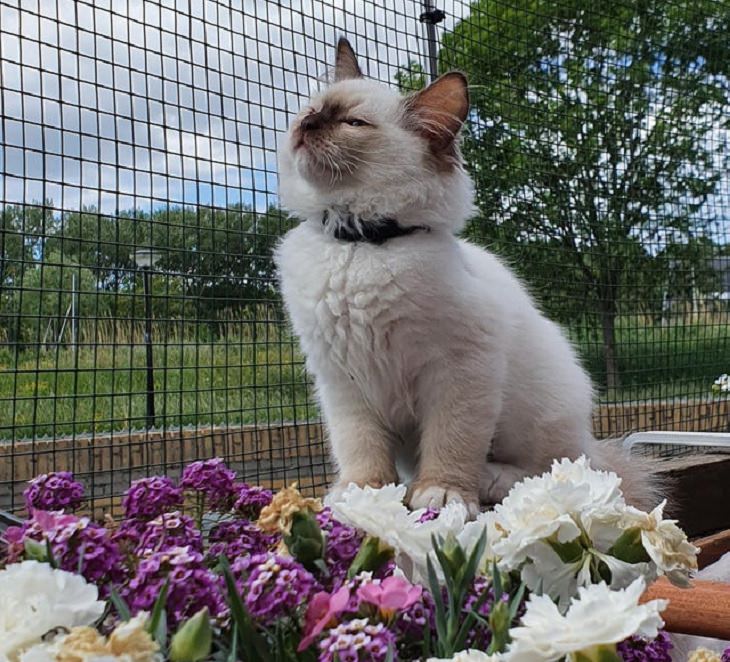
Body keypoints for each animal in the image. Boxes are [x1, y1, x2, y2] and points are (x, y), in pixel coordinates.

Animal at [272, 37, 656, 512]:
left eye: (352, 123)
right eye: (310, 110)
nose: (307, 125)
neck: (360, 244)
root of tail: (592, 441)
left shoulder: (460, 370)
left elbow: (451, 442)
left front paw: (442, 493)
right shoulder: (343, 379)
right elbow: (360, 449)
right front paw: (364, 494)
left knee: (556, 470)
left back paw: (489, 479)